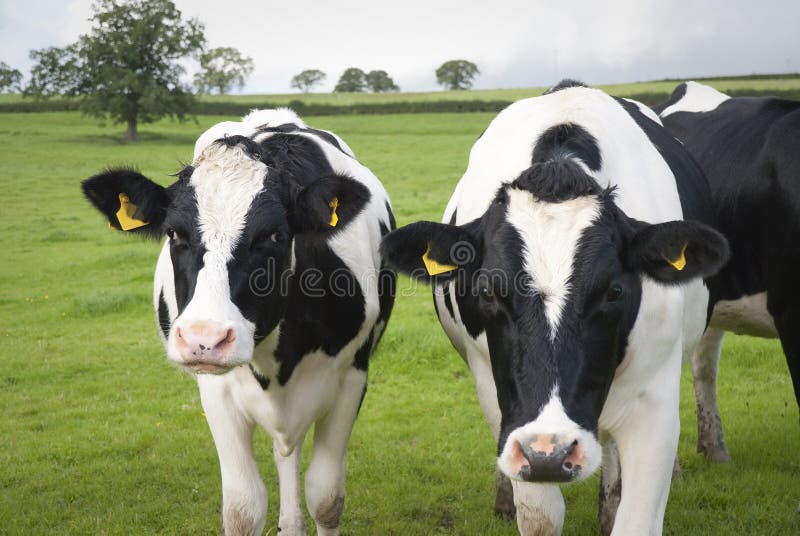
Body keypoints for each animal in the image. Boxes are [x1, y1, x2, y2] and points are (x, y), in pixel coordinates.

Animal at [80, 109, 394, 536]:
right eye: (174, 233)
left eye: (273, 235)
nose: (205, 339)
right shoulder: (217, 391)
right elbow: (243, 509)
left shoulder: (351, 377)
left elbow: (326, 498)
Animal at [378, 80, 728, 536]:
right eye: (487, 292)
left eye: (614, 292)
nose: (551, 452)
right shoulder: (507, 409)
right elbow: (540, 515)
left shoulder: (655, 405)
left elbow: (636, 519)